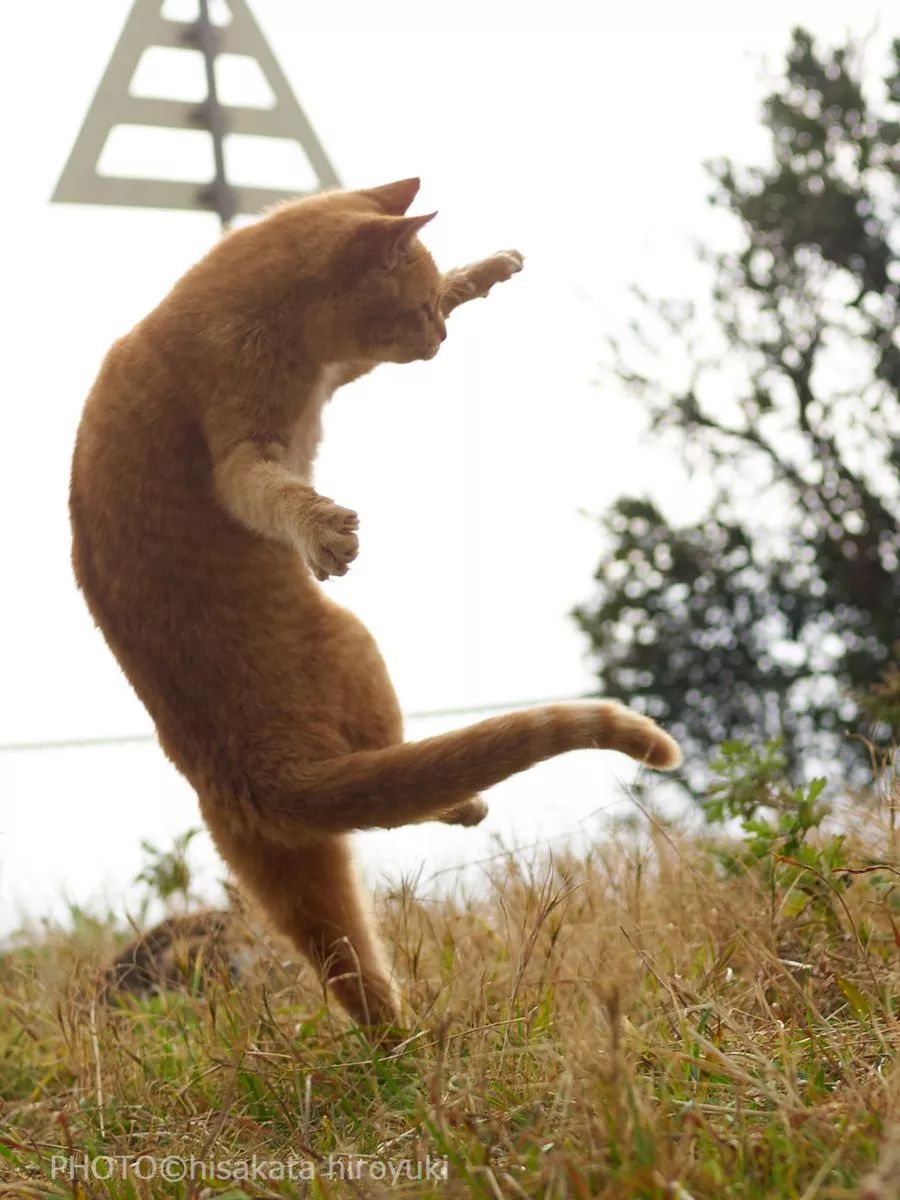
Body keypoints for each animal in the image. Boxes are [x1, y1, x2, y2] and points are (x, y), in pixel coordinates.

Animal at [70, 175, 681, 1032]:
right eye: (413, 309)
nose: (440, 339)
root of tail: (262, 779)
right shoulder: (245, 442)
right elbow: (270, 490)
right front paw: (325, 532)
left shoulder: (334, 373)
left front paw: (488, 268)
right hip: (357, 644)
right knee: (399, 775)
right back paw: (464, 802)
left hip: (297, 885)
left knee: (364, 963)